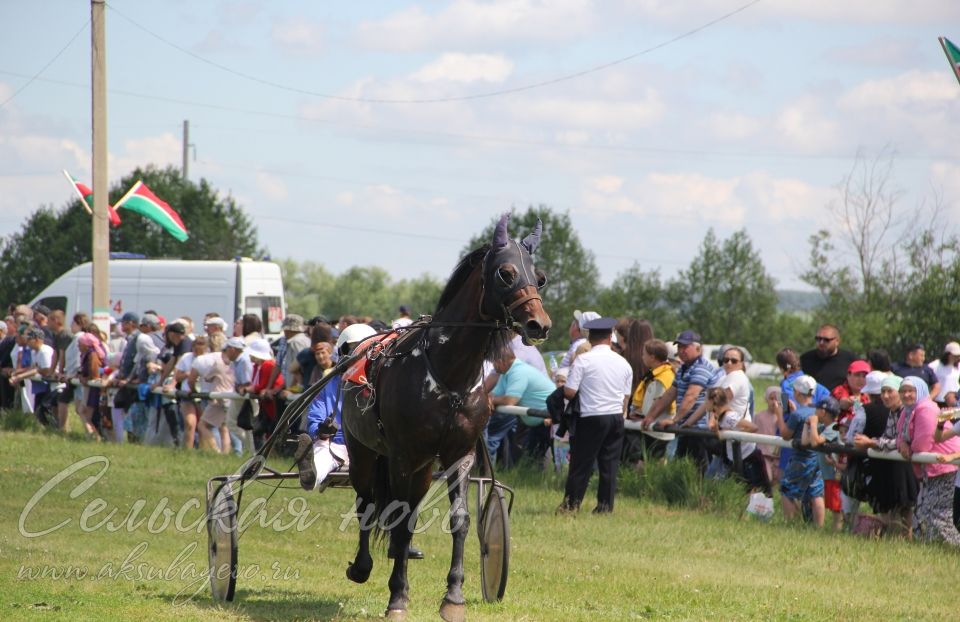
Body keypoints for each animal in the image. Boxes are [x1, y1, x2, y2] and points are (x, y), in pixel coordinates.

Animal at [342, 213, 552, 620]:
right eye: (506, 273)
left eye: (540, 277)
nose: (540, 324)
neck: (449, 374)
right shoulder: (403, 455)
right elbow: (400, 519)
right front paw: (397, 597)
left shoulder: (460, 454)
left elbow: (460, 520)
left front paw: (453, 597)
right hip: (364, 451)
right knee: (367, 502)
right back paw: (361, 566)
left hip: (424, 468)